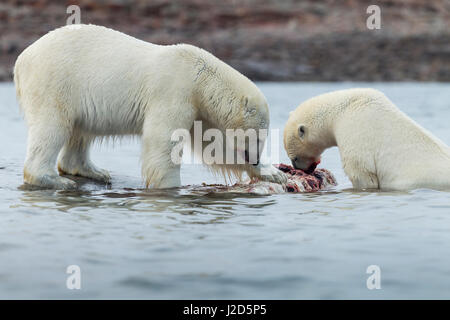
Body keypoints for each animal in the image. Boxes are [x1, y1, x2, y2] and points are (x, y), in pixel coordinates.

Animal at [14, 25, 284, 190]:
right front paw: (171, 186)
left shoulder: (199, 108)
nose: (254, 158)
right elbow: (163, 141)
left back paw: (94, 171)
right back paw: (53, 180)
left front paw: (273, 173)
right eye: (258, 136)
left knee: (80, 131)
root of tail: (21, 58)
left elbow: (212, 146)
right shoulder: (175, 91)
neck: (200, 77)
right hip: (55, 83)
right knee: (52, 127)